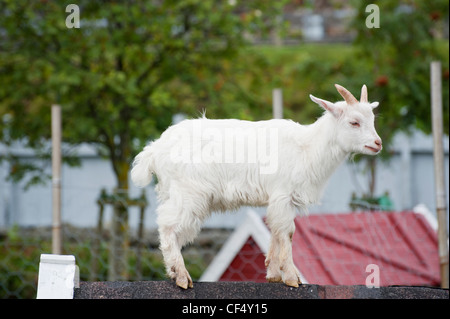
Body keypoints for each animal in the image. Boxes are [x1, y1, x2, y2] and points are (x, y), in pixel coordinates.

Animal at [132, 84, 382, 288]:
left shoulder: (278, 199)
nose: (377, 143)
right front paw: (292, 277)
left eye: (372, 120)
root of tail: (154, 149)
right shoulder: (283, 193)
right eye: (354, 122)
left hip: (172, 192)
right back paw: (182, 276)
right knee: (167, 225)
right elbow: (287, 232)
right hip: (188, 193)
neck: (307, 148)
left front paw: (273, 273)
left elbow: (275, 229)